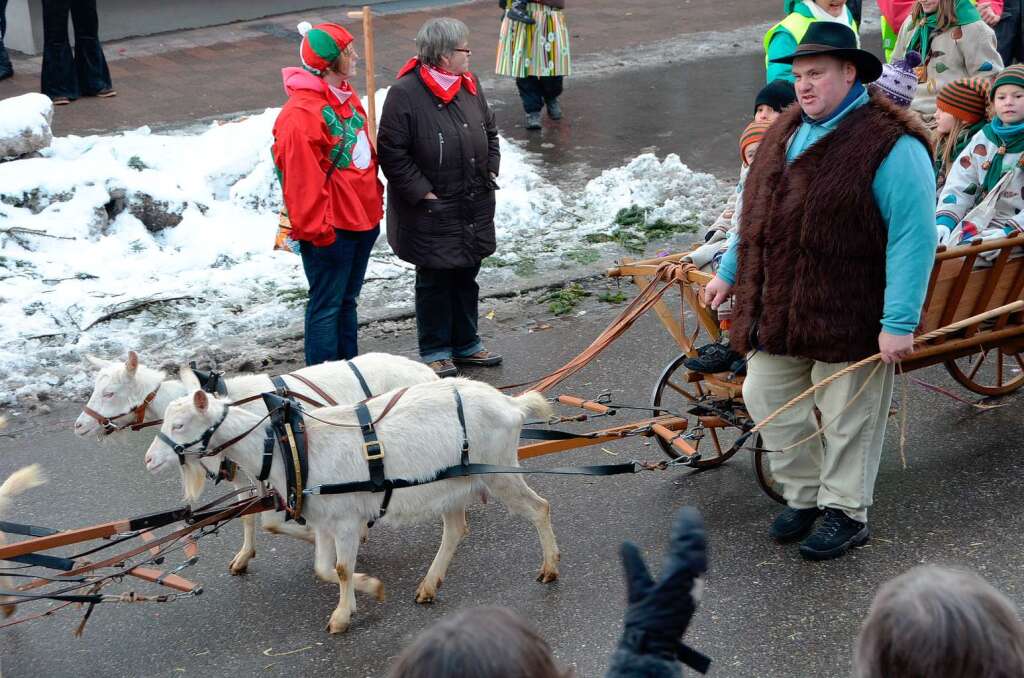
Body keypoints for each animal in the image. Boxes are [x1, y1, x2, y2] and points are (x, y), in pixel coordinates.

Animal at [74, 352, 436, 577]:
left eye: (109, 393)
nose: (79, 426)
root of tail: (427, 372)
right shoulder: (244, 473)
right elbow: (248, 517)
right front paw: (243, 557)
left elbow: (270, 522)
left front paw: (316, 535)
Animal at [144, 378, 561, 634]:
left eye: (179, 424)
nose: (148, 460)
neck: (291, 446)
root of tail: (510, 403)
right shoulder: (324, 521)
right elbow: (323, 569)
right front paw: (372, 588)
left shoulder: (344, 518)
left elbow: (341, 570)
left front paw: (343, 615)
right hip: (452, 485)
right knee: (456, 529)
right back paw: (428, 586)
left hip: (499, 472)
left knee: (540, 508)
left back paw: (549, 568)